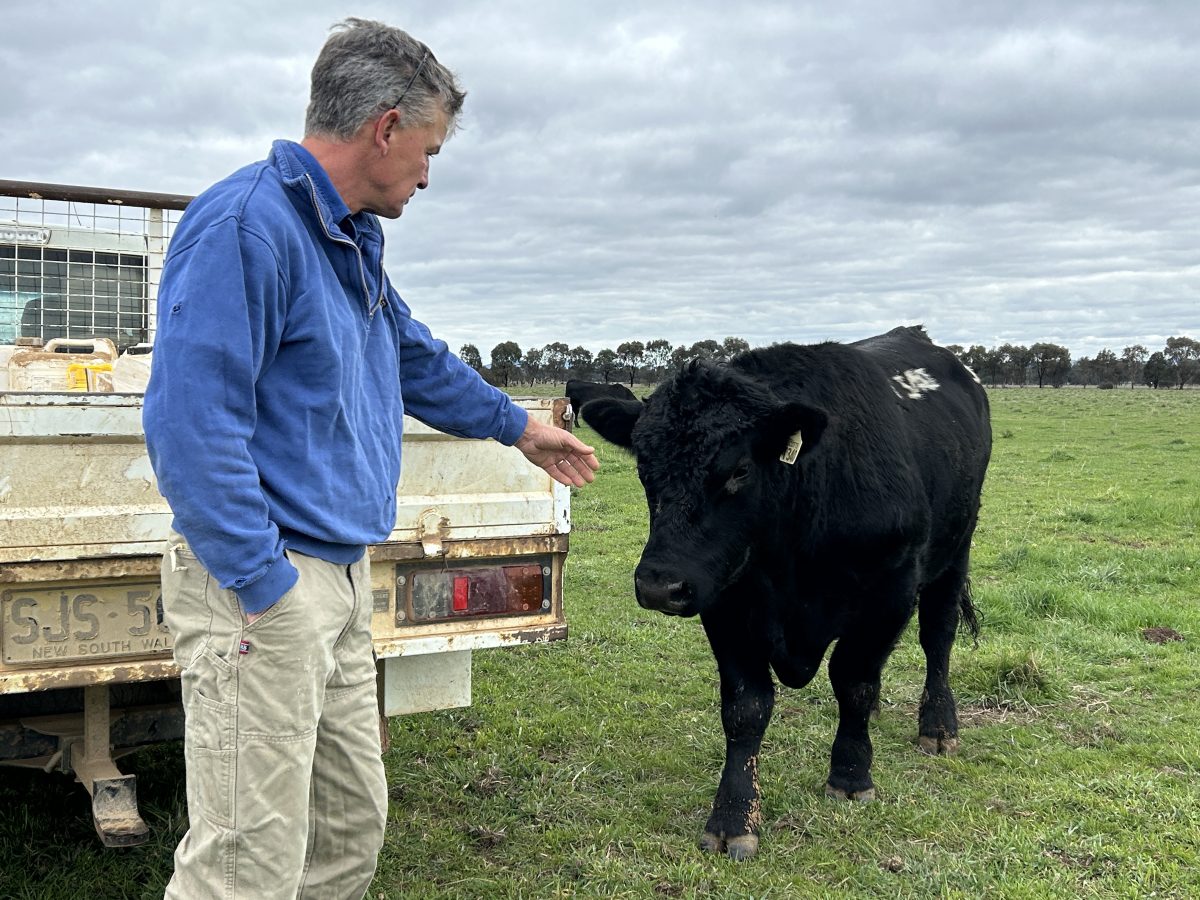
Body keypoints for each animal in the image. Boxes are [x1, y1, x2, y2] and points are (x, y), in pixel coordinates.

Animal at [583, 328, 993, 864]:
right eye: (644, 471)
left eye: (739, 471)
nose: (658, 585)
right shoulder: (724, 601)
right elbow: (746, 708)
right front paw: (733, 818)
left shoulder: (890, 590)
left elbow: (853, 681)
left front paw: (851, 774)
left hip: (955, 550)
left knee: (937, 638)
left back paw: (939, 727)